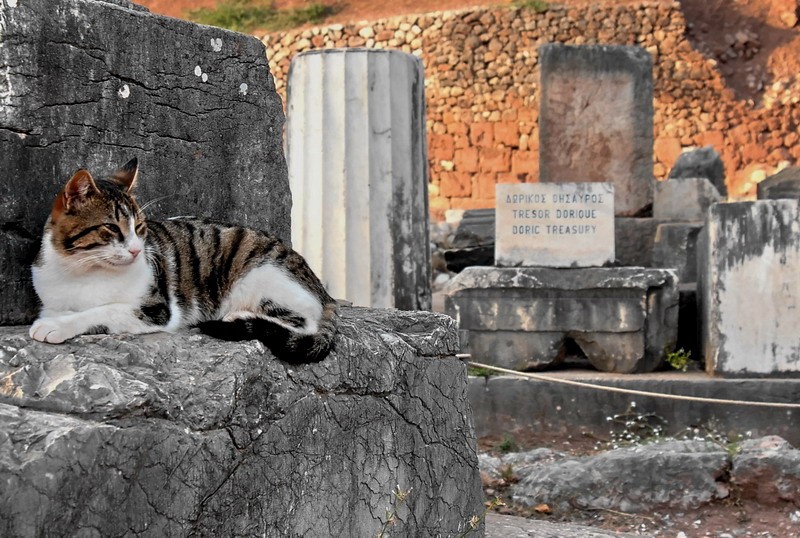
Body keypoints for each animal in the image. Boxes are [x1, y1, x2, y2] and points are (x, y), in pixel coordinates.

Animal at [28, 157, 338, 362]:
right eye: (113, 228)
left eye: (140, 228)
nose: (137, 250)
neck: (83, 270)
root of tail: (325, 293)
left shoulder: (157, 310)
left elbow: (102, 311)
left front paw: (57, 326)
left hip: (262, 276)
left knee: (303, 322)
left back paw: (240, 316)